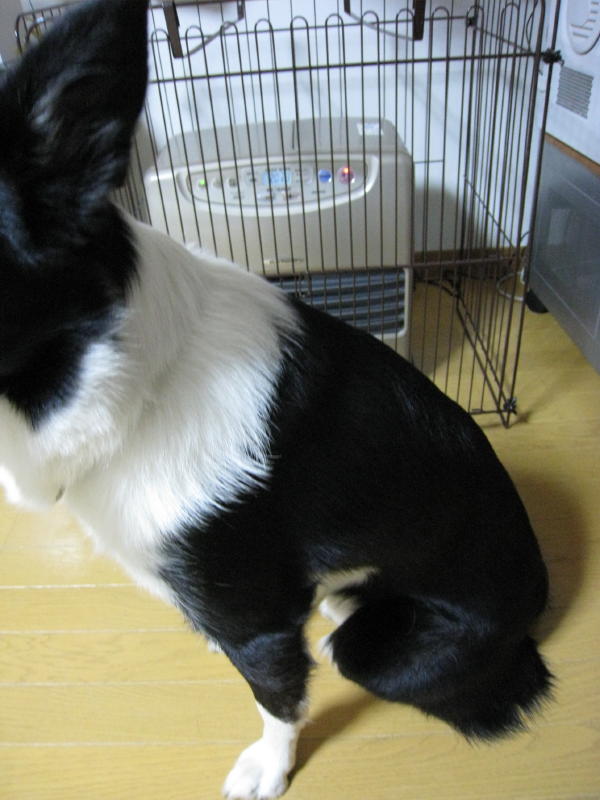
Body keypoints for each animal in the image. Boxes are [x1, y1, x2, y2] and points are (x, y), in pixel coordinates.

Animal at [0, 1, 552, 797]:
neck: (126, 386)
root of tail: (539, 596)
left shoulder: (257, 621)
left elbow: (276, 699)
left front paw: (269, 765)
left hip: (379, 648)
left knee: (345, 650)